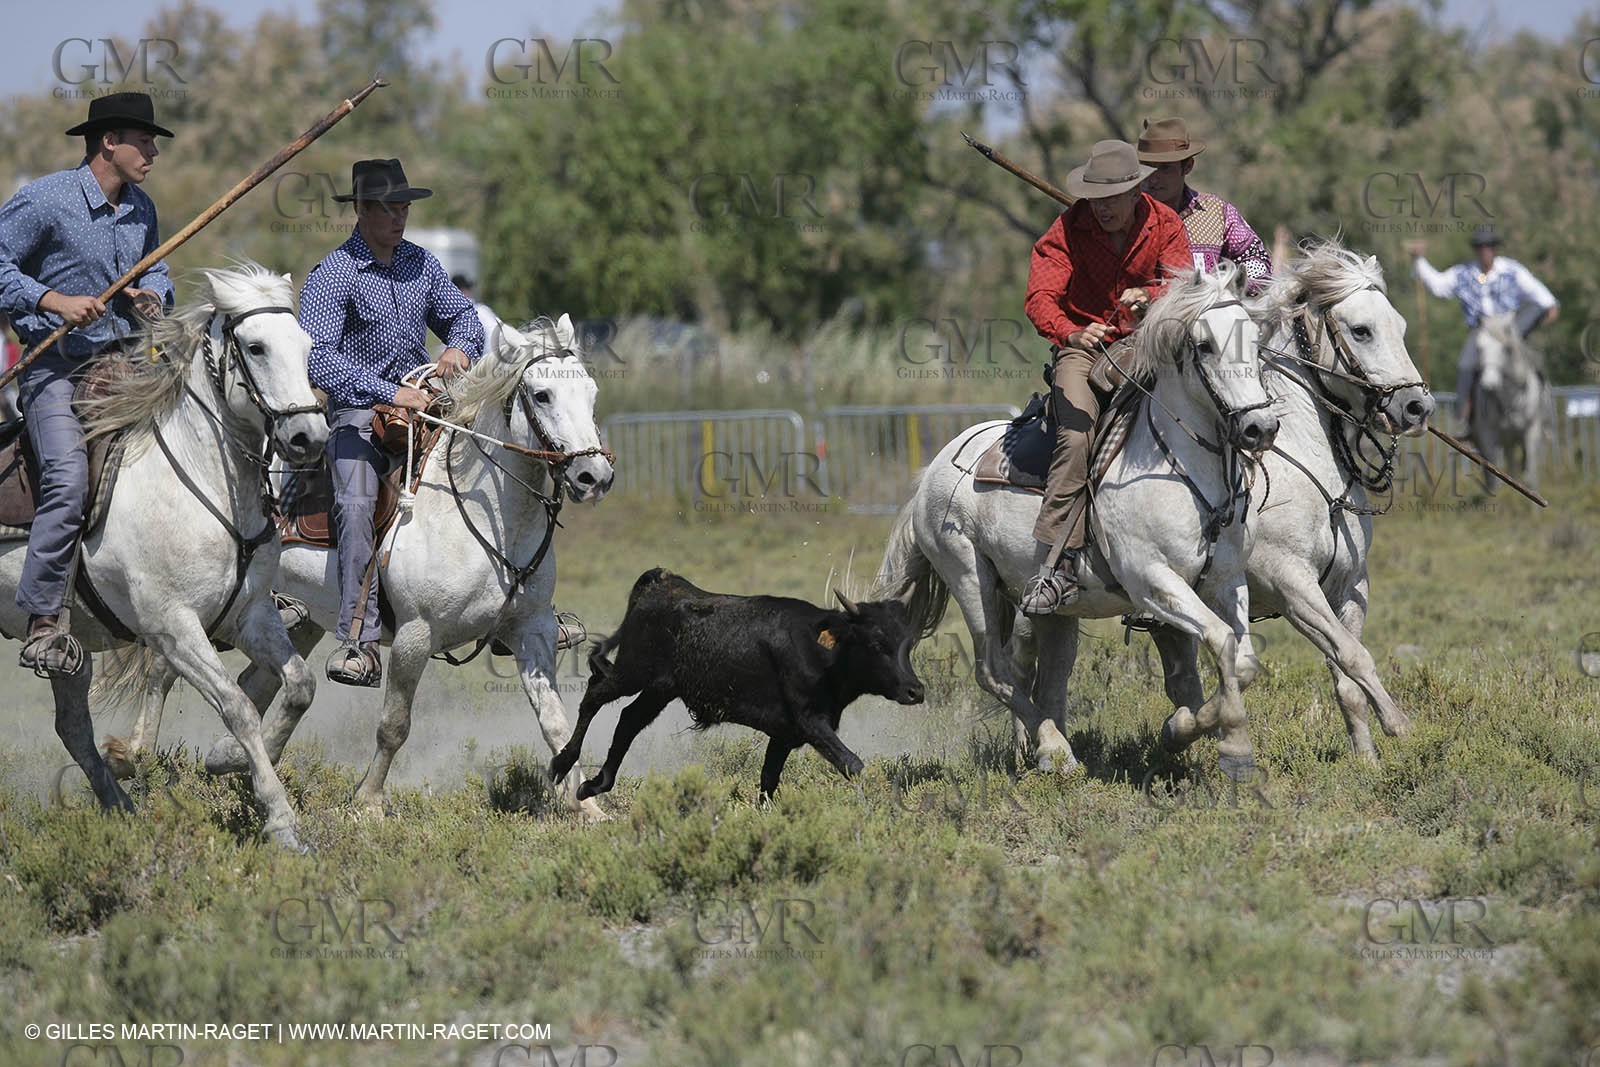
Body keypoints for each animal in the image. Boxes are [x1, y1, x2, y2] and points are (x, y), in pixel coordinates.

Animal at [0, 264, 327, 850]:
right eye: (256, 346)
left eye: (306, 345)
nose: (308, 436)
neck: (202, 481)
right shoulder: (172, 627)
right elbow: (237, 707)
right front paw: (282, 822)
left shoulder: (249, 614)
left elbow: (299, 685)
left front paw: (228, 762)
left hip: (73, 651)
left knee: (73, 727)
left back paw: (122, 809)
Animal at [105, 314, 616, 819]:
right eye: (542, 394)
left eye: (592, 391)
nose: (594, 476)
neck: (486, 515)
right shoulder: (415, 635)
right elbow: (394, 724)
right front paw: (369, 802)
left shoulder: (532, 629)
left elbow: (556, 723)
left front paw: (586, 808)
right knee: (164, 670)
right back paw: (134, 755)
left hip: (300, 619)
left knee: (261, 682)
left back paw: (228, 756)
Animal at [875, 262, 1280, 777]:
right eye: (1204, 345)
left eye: (1256, 339)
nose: (1259, 428)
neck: (1182, 470)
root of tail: (934, 467)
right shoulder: (1153, 581)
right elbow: (1223, 642)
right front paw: (1211, 739)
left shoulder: (1226, 581)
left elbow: (1242, 660)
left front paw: (1200, 733)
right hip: (969, 577)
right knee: (994, 671)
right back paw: (1055, 750)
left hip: (1050, 610)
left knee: (1044, 674)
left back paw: (1044, 747)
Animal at [1147, 242, 1434, 764]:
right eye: (1361, 330)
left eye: (1401, 327)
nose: (1418, 408)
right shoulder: (1291, 585)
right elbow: (1355, 657)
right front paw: (1399, 723)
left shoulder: (1348, 585)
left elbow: (1346, 674)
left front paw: (1366, 759)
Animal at [1467, 311, 1550, 492]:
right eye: (1479, 347)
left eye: (1505, 348)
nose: (1488, 384)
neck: (1509, 401)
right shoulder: (1487, 435)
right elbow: (1493, 478)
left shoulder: (1531, 432)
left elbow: (1530, 476)